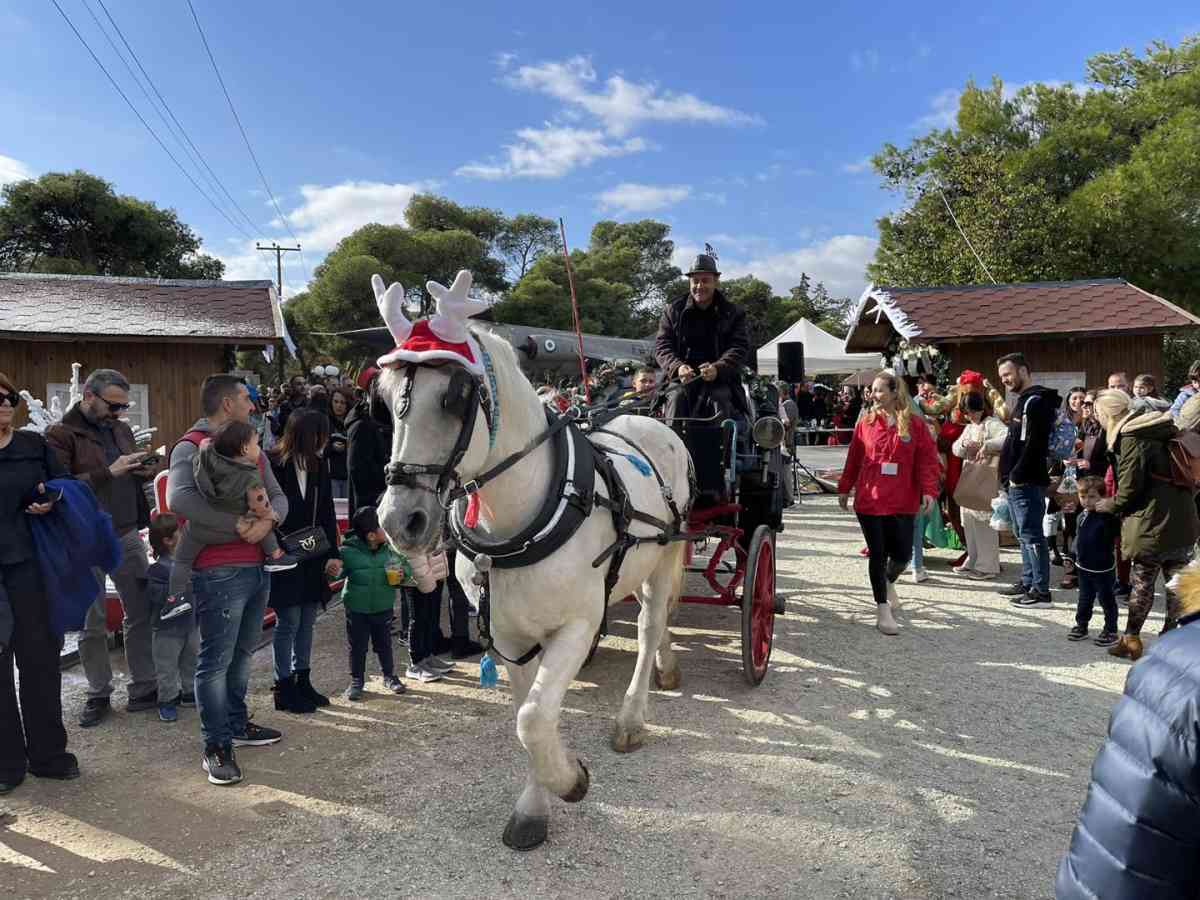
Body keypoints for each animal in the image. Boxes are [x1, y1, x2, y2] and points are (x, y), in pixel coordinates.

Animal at [374, 270, 696, 854]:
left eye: (454, 396)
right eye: (384, 398)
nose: (399, 520)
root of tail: (654, 423)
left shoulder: (577, 626)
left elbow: (533, 718)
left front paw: (571, 780)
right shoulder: (509, 633)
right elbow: (527, 719)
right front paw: (534, 806)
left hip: (665, 556)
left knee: (649, 623)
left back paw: (632, 716)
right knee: (655, 622)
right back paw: (667, 665)